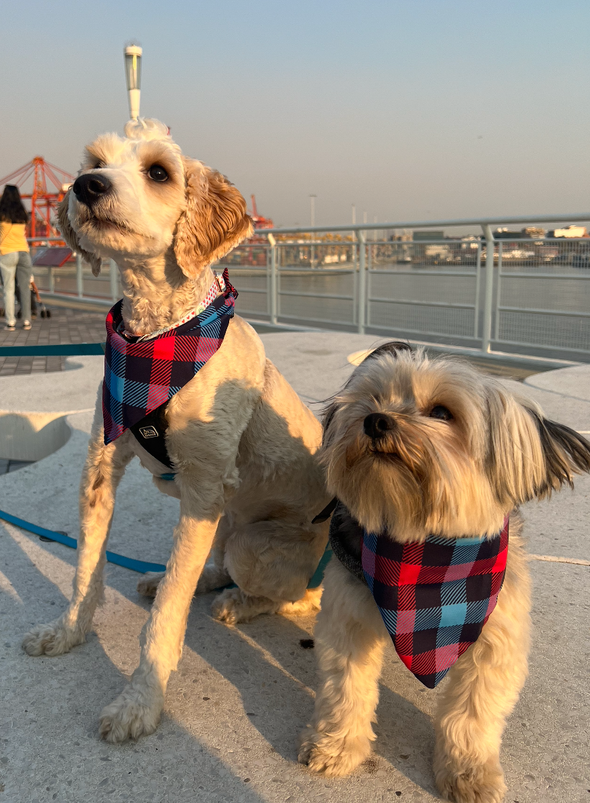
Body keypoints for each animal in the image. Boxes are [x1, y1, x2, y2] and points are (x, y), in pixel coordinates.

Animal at [22, 121, 328, 748]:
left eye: (159, 172)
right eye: (94, 162)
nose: (86, 187)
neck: (155, 339)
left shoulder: (204, 486)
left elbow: (166, 616)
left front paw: (141, 703)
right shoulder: (101, 467)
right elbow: (85, 570)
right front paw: (66, 633)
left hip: (254, 542)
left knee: (293, 598)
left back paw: (239, 602)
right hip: (226, 520)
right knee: (211, 566)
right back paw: (191, 580)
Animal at [300, 344, 590, 803]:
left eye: (441, 412)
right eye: (374, 398)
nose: (375, 420)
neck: (423, 547)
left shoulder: (494, 638)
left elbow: (472, 713)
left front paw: (468, 773)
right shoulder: (349, 620)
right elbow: (346, 688)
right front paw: (337, 746)